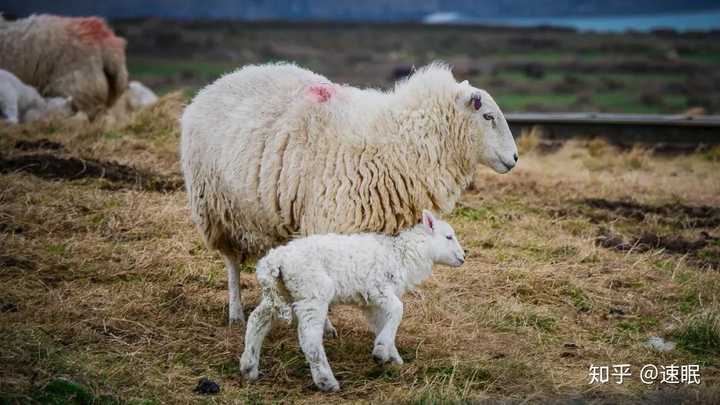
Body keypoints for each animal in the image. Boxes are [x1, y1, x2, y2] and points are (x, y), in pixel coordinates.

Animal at [180, 61, 516, 324]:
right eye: (487, 116)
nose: (514, 158)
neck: (401, 141)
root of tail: (214, 85)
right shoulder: (332, 221)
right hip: (216, 209)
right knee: (232, 263)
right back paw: (236, 312)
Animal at [240, 210, 466, 390]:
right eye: (448, 237)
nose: (464, 257)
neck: (403, 254)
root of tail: (275, 259)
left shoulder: (371, 303)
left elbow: (382, 323)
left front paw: (392, 356)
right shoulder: (377, 289)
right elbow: (398, 310)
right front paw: (381, 351)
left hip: (280, 292)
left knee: (257, 320)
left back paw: (249, 366)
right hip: (312, 292)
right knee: (310, 339)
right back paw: (326, 382)